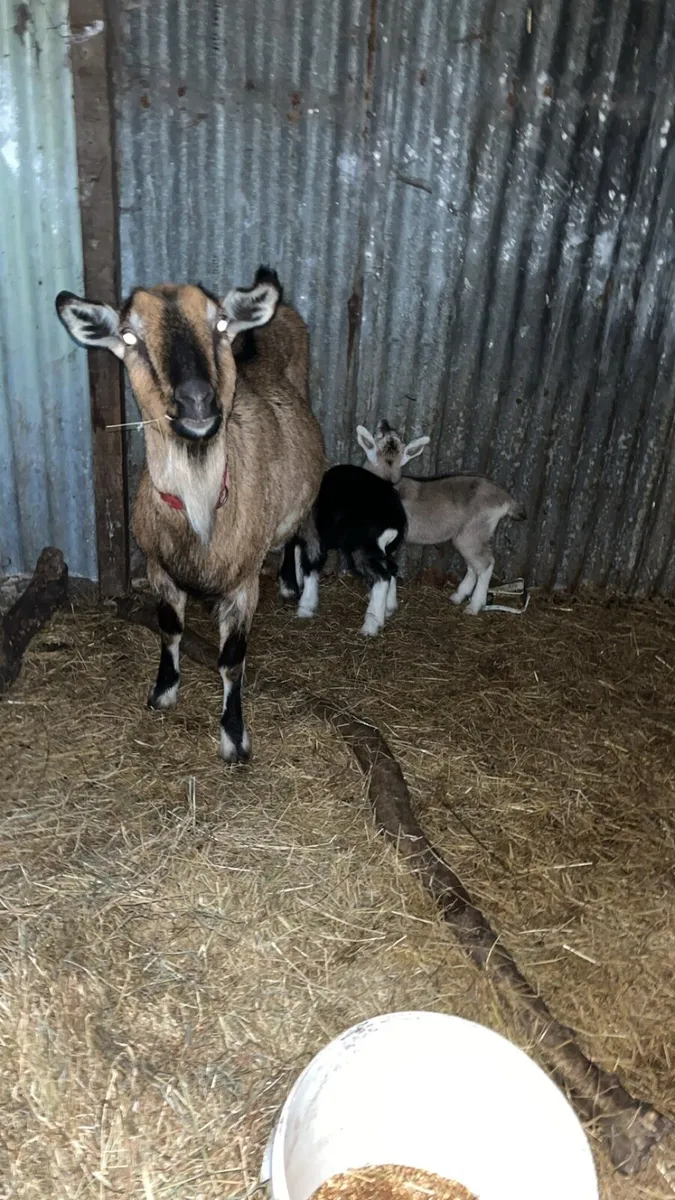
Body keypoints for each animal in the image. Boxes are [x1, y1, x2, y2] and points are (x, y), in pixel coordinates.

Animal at [56, 267, 325, 763]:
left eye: (219, 323)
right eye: (129, 335)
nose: (197, 401)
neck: (202, 509)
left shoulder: (242, 584)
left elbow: (231, 661)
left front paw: (234, 737)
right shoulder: (158, 568)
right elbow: (169, 630)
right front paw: (163, 691)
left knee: (294, 530)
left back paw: (288, 582)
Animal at [279, 464, 407, 636]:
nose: (287, 591)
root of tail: (393, 522)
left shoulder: (312, 535)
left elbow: (310, 564)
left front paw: (305, 608)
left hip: (360, 547)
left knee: (382, 576)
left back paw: (370, 626)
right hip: (382, 549)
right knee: (392, 569)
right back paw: (388, 609)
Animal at [357, 421, 525, 615]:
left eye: (381, 435)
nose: (384, 423)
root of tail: (506, 498)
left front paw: (387, 607)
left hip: (475, 531)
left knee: (486, 563)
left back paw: (474, 606)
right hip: (467, 536)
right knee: (473, 564)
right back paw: (458, 596)